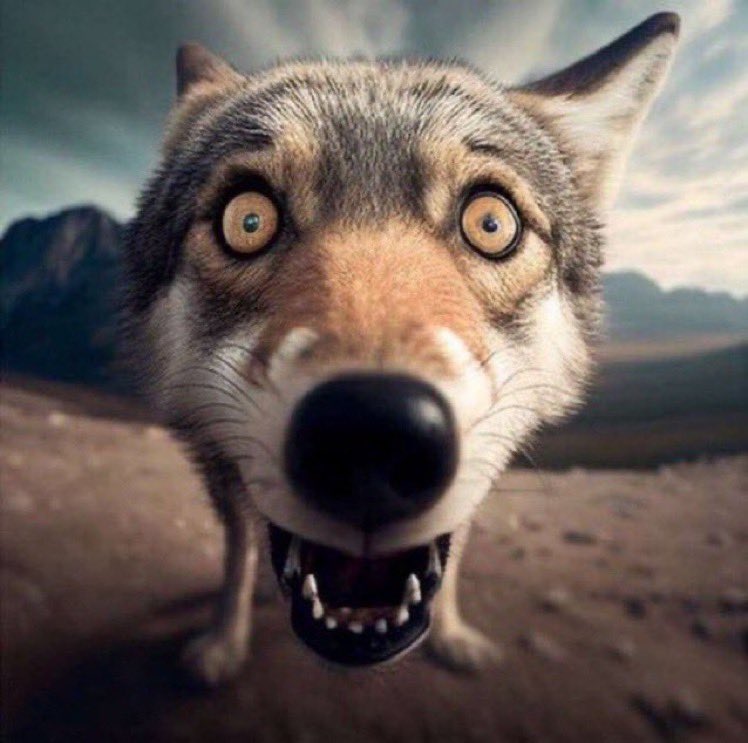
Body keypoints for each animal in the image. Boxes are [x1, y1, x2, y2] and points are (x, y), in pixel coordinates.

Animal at [123, 13, 679, 685]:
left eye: (491, 223)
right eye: (248, 220)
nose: (371, 436)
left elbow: (455, 562)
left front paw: (455, 637)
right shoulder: (215, 468)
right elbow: (236, 556)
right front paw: (223, 644)